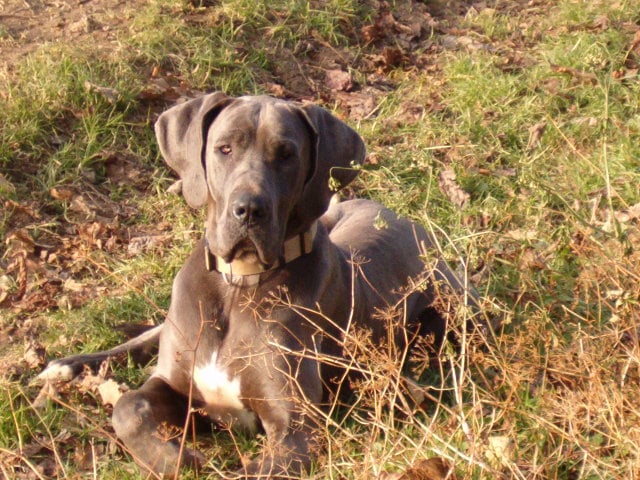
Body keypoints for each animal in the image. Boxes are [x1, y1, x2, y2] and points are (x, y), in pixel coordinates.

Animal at [40, 92, 480, 478]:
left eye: (286, 154)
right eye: (224, 149)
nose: (249, 209)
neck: (238, 284)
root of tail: (403, 220)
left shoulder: (296, 428)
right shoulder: (172, 385)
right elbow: (128, 406)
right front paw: (174, 460)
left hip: (458, 311)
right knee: (149, 335)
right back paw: (70, 366)